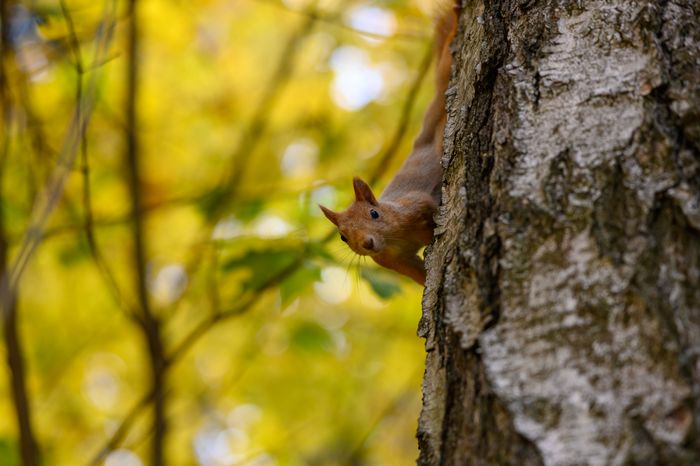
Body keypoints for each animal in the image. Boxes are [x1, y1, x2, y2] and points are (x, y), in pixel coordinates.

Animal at [320, 4, 457, 286]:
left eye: (374, 214)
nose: (367, 243)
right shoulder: (393, 261)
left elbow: (428, 209)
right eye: (343, 237)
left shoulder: (414, 205)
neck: (393, 238)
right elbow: (419, 275)